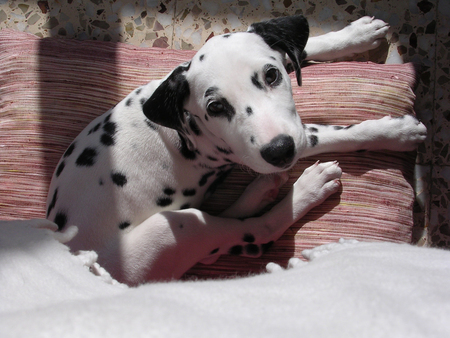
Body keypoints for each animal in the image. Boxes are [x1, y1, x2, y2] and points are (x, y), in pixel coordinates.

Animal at [45, 16, 426, 286]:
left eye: (271, 75)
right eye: (215, 107)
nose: (279, 152)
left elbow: (300, 49)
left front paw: (354, 34)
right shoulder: (280, 143)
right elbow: (336, 134)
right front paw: (396, 132)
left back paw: (262, 189)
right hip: (175, 227)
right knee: (255, 230)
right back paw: (305, 188)